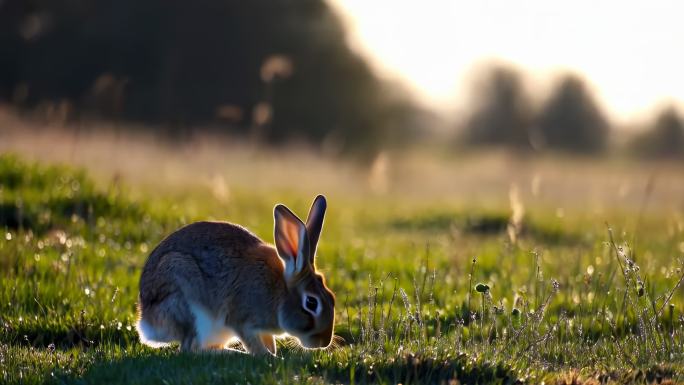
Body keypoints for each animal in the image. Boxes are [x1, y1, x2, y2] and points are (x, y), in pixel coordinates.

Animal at [136, 195, 334, 354]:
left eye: (332, 298)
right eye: (311, 303)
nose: (324, 342)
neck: (280, 291)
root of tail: (146, 322)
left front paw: (272, 352)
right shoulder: (240, 320)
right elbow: (253, 344)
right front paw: (270, 357)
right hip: (190, 304)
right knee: (191, 349)